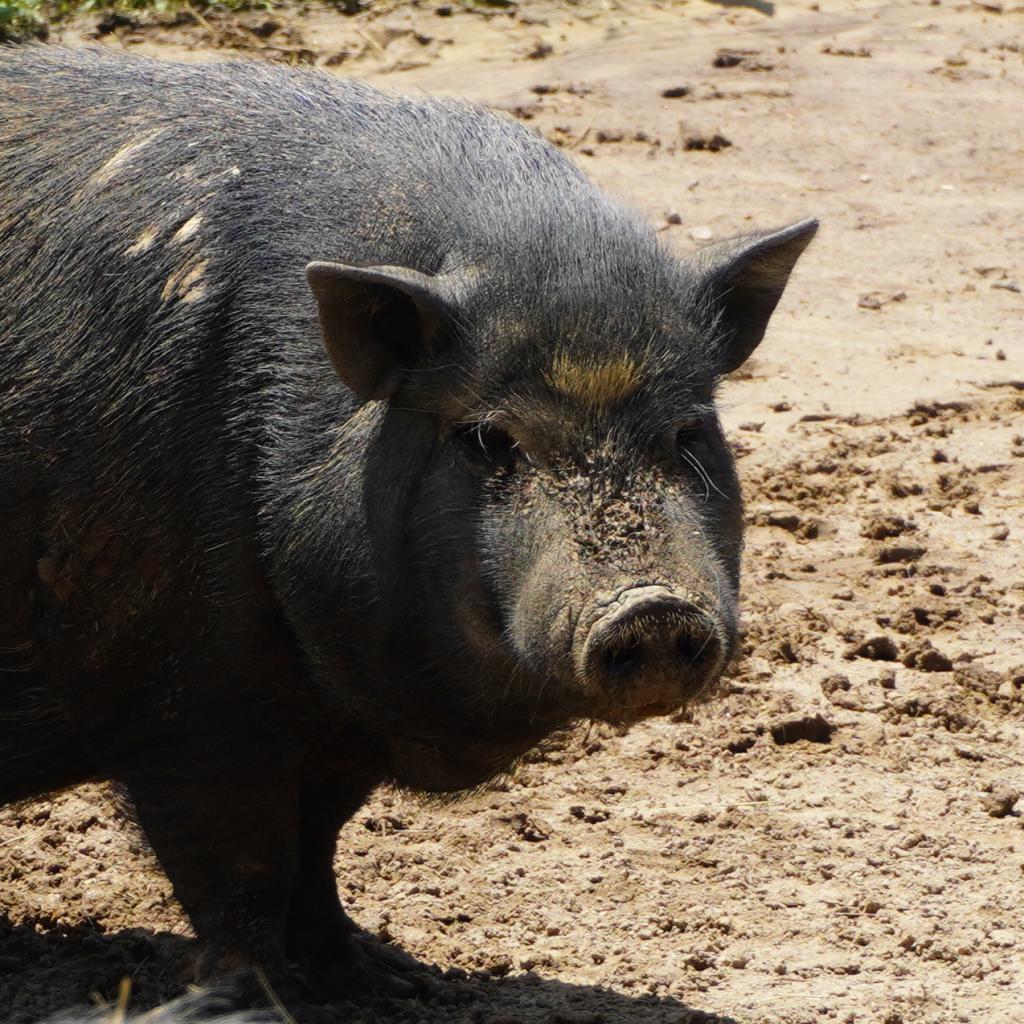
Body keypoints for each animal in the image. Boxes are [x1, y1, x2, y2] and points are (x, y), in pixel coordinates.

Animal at [0, 45, 817, 1005]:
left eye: (688, 433)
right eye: (490, 437)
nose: (652, 608)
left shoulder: (338, 721)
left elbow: (318, 845)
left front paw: (388, 979)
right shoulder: (191, 709)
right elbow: (240, 874)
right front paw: (261, 1002)